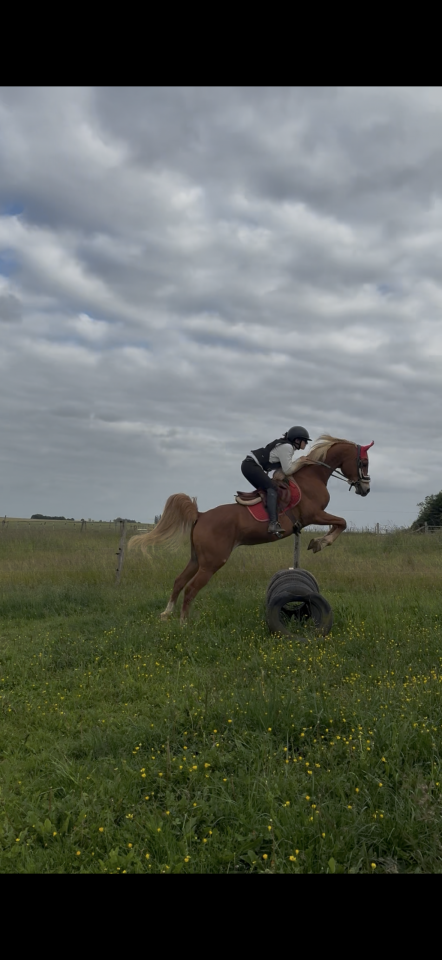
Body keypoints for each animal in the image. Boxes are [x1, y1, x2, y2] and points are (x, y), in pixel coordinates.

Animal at [128, 435, 373, 623]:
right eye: (364, 462)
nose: (366, 489)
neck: (312, 477)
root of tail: (201, 515)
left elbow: (339, 522)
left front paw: (317, 542)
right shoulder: (314, 514)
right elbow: (341, 522)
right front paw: (320, 543)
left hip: (197, 558)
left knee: (179, 581)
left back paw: (166, 614)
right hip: (212, 562)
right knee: (190, 589)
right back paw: (183, 623)